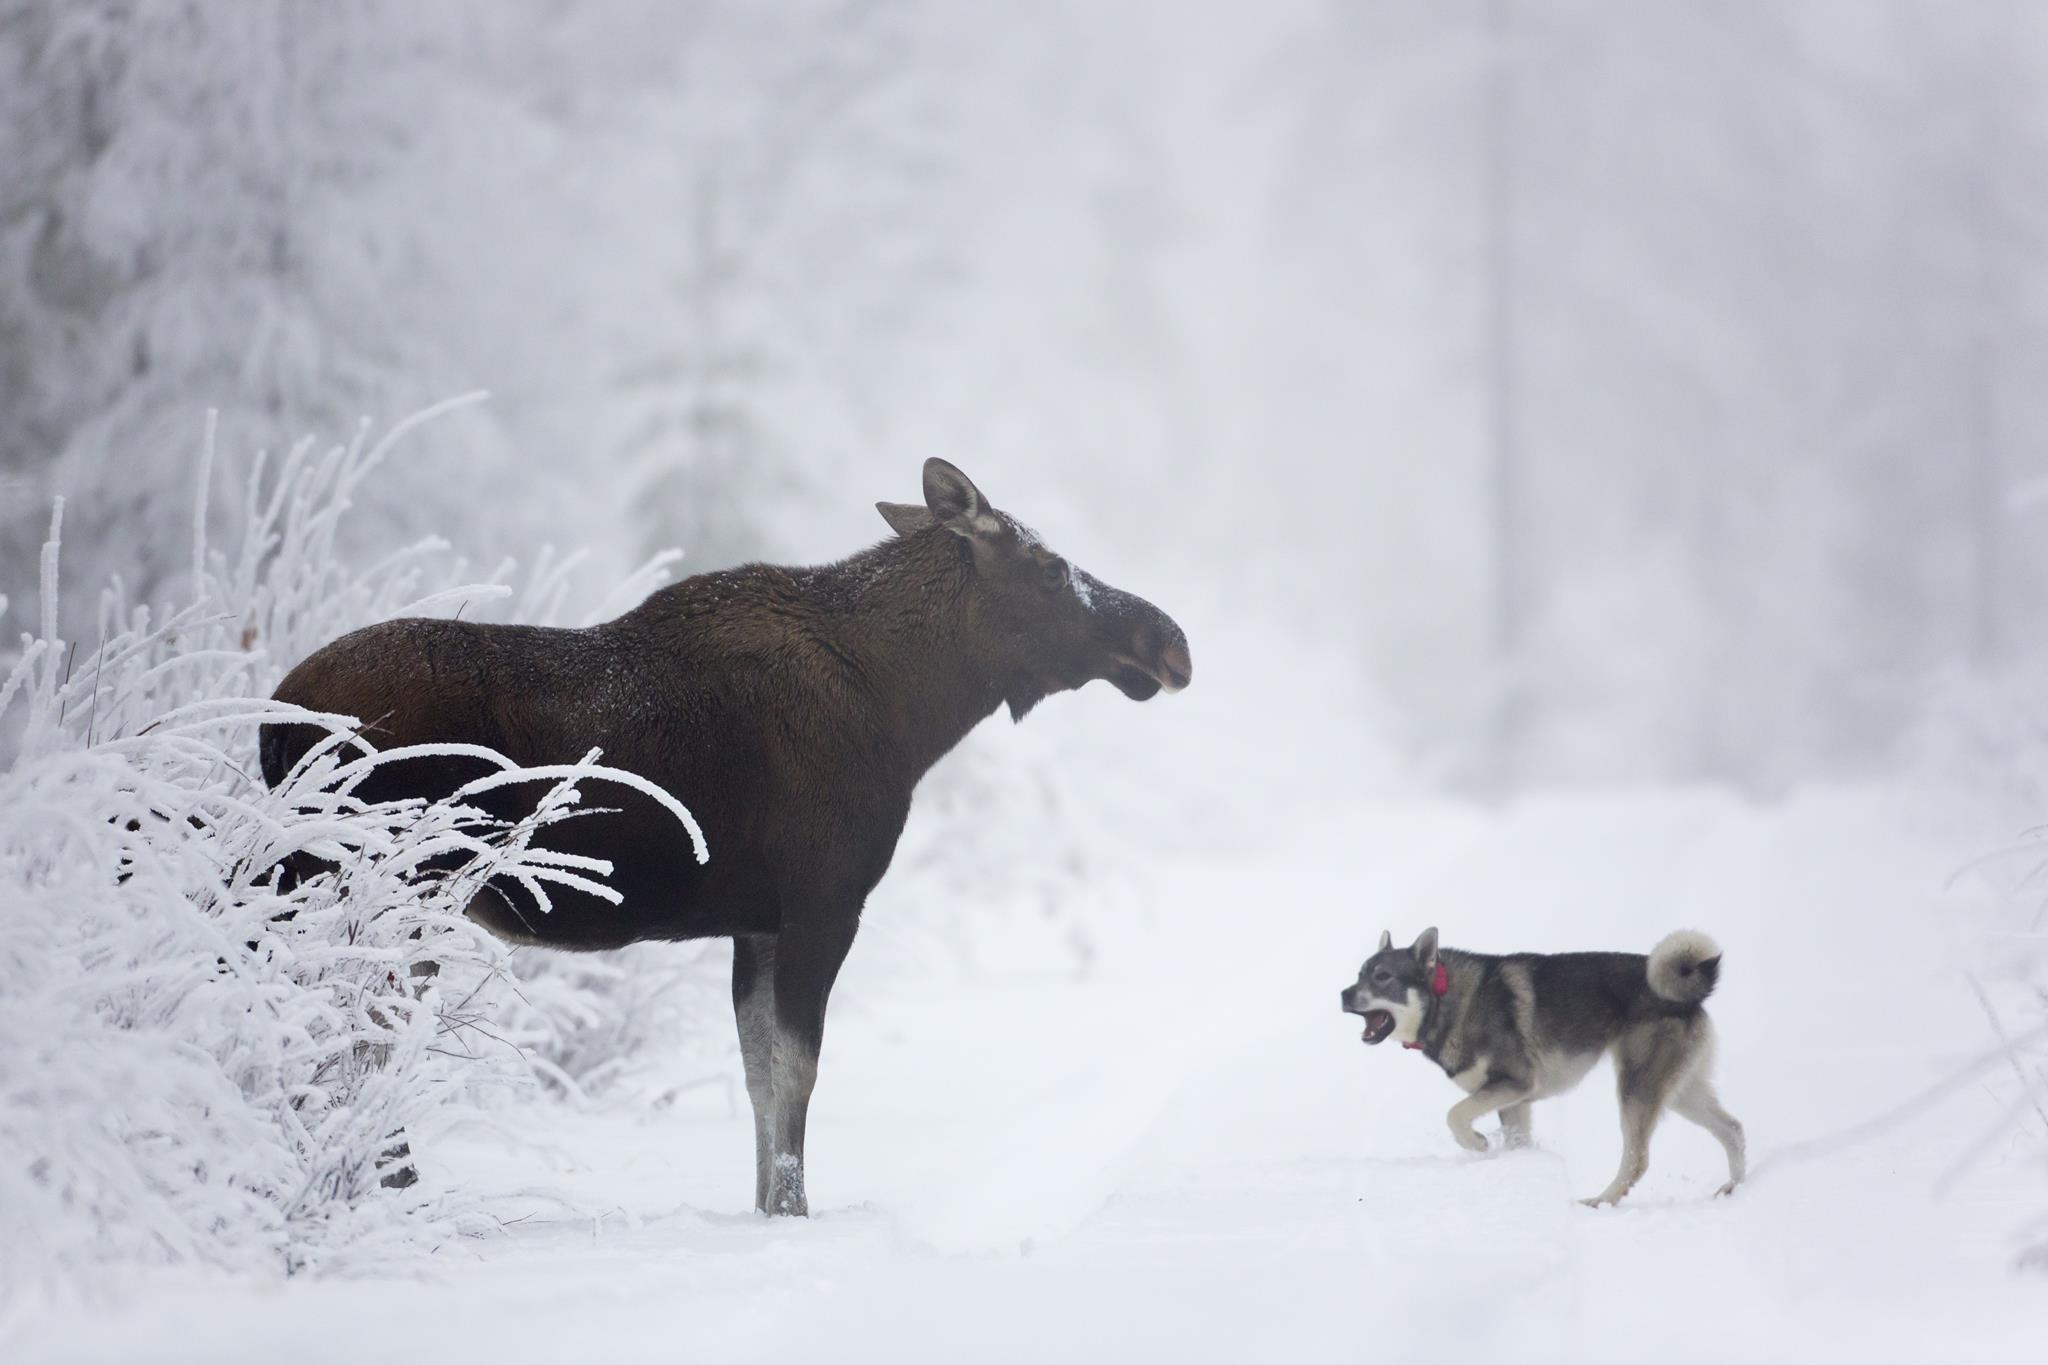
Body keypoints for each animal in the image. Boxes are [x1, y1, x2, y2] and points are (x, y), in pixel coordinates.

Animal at [258, 458, 1196, 1219]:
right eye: (1049, 568)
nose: (1171, 641)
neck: (912, 714)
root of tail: (273, 719)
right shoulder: (825, 902)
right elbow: (798, 1069)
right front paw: (794, 1210)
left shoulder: (757, 922)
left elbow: (757, 1073)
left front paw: (763, 1207)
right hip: (387, 887)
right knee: (363, 1030)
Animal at [1343, 929, 1744, 1203]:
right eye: (1360, 973)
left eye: (1382, 977)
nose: (1343, 994)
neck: (1446, 1000)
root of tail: (1690, 994)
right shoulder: (1514, 1103)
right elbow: (1514, 1140)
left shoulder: (1516, 1083)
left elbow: (1454, 1115)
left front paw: (1478, 1144)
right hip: (1680, 1092)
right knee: (1733, 1129)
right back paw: (1735, 1188)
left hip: (1637, 1088)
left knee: (1637, 1160)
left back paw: (1599, 1202)